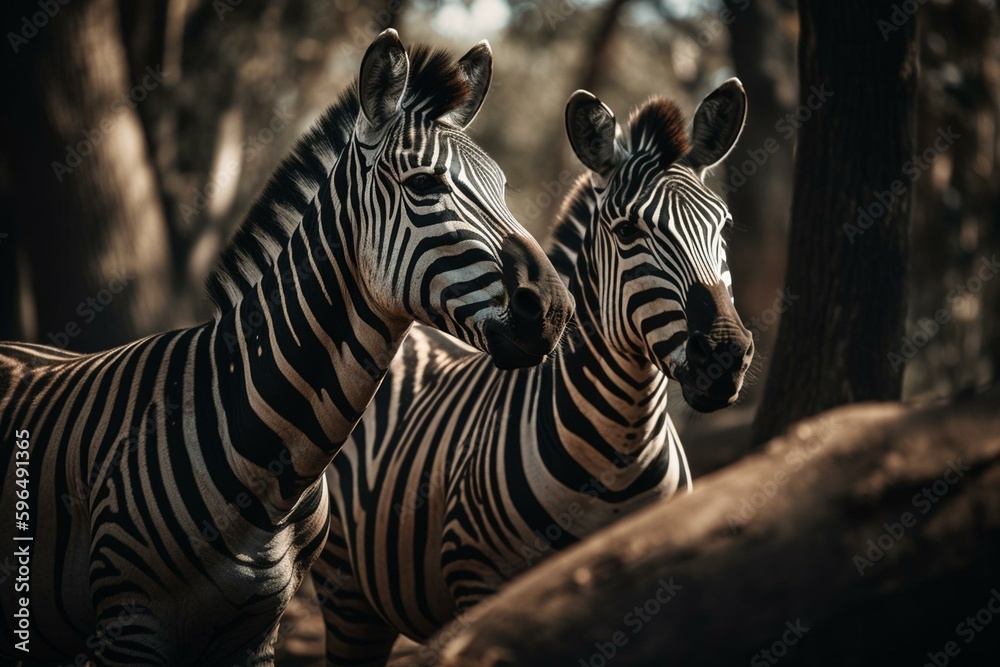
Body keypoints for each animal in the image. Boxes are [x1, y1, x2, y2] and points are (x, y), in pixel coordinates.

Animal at [0, 30, 573, 666]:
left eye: (503, 189)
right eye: (424, 184)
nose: (554, 308)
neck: (273, 466)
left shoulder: (256, 631)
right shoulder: (131, 626)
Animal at [308, 79, 754, 665]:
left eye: (724, 225)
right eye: (629, 232)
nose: (724, 355)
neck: (621, 449)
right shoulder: (482, 583)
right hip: (347, 592)